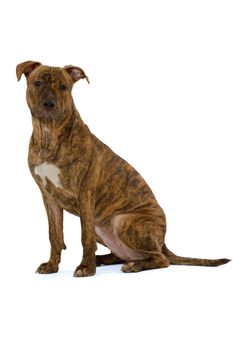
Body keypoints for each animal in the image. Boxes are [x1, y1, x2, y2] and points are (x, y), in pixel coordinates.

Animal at [16, 61, 231, 278]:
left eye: (63, 87)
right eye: (37, 83)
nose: (49, 104)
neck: (49, 133)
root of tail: (163, 241)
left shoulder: (85, 193)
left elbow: (85, 237)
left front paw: (86, 268)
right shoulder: (49, 198)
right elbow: (55, 235)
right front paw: (52, 265)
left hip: (122, 220)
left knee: (162, 259)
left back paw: (132, 265)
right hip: (103, 226)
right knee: (123, 254)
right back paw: (105, 260)